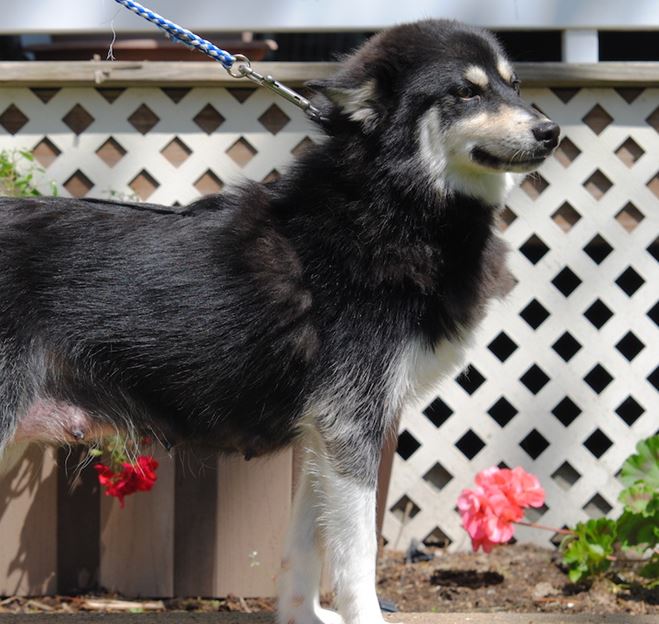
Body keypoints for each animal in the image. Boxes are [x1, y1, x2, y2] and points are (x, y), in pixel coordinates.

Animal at [0, 19, 558, 624]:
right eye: (465, 92)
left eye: (513, 84)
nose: (550, 131)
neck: (389, 205)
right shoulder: (351, 422)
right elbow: (357, 553)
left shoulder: (321, 433)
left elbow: (306, 544)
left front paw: (302, 615)